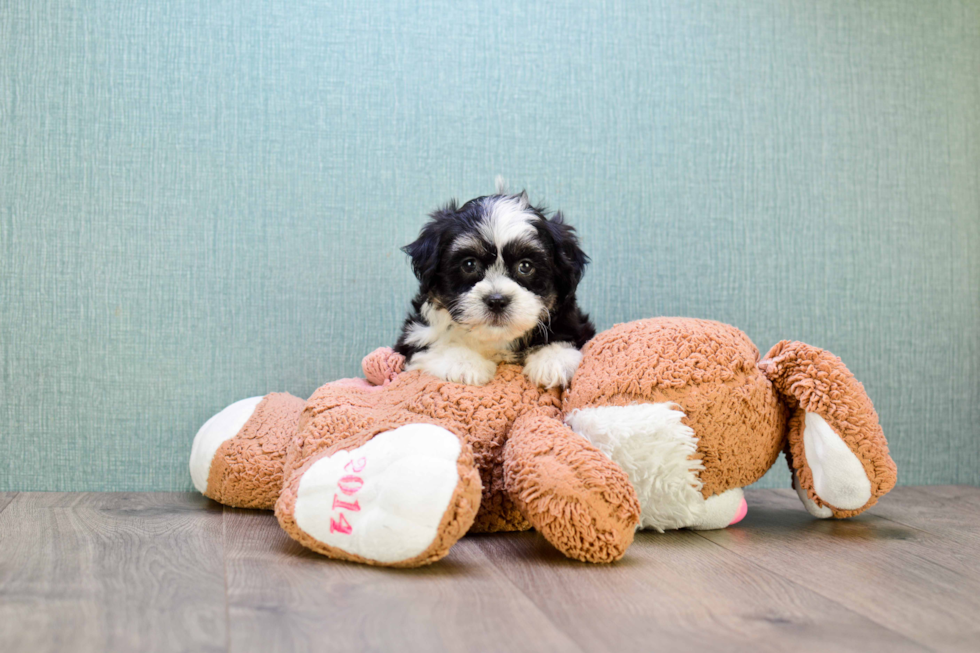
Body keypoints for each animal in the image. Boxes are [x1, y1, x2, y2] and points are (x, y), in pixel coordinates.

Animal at [392, 188, 592, 388]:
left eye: (525, 266)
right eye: (469, 264)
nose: (496, 301)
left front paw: (553, 359)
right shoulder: (414, 335)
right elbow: (434, 346)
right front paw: (464, 364)